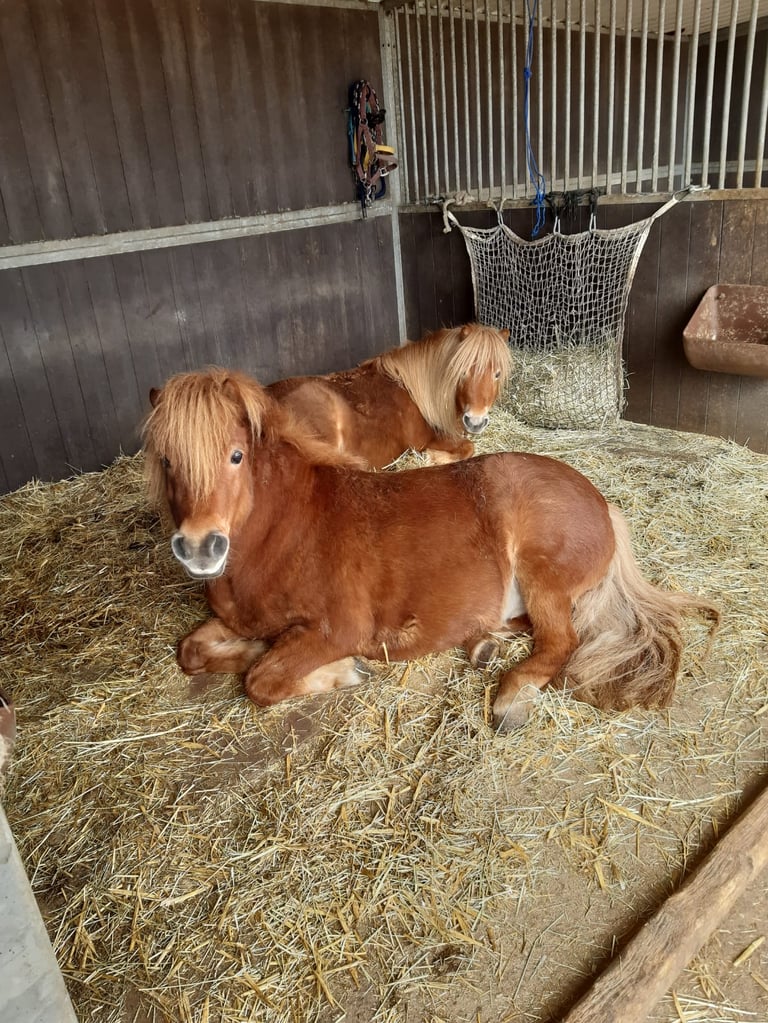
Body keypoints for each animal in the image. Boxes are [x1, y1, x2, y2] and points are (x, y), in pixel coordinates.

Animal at [142, 368, 718, 730]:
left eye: (236, 455)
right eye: (166, 459)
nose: (200, 548)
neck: (287, 531)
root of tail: (603, 503)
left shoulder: (336, 629)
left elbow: (261, 681)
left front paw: (340, 671)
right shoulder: (239, 621)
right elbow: (192, 650)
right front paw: (250, 651)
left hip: (542, 573)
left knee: (561, 642)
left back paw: (511, 698)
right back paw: (483, 645)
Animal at [266, 322, 513, 468]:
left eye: (497, 373)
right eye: (462, 371)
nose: (475, 421)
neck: (417, 393)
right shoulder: (429, 439)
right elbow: (469, 447)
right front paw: (431, 458)